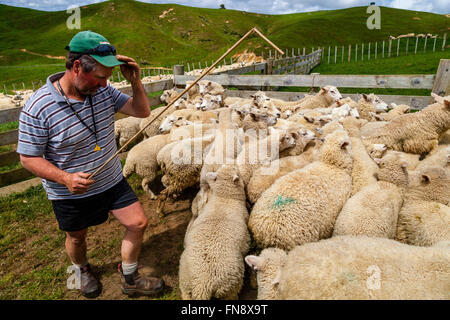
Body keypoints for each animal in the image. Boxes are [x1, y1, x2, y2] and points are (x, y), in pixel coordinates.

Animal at [178, 165, 250, 300]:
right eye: (234, 169)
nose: (233, 165)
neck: (224, 199)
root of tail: (202, 285)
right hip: (229, 286)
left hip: (184, 281)